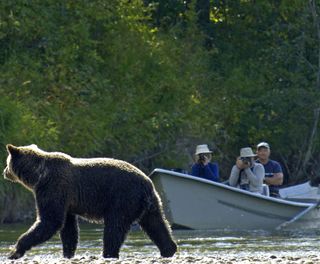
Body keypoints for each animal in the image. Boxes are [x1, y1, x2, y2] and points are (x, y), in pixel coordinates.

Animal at [3, 143, 178, 258]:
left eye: (6, 162)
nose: (4, 172)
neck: (38, 176)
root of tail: (147, 183)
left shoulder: (53, 188)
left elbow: (50, 221)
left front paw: (15, 250)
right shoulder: (67, 200)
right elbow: (68, 227)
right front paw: (68, 253)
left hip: (122, 199)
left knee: (114, 228)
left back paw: (108, 253)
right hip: (151, 204)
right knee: (157, 224)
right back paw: (169, 249)